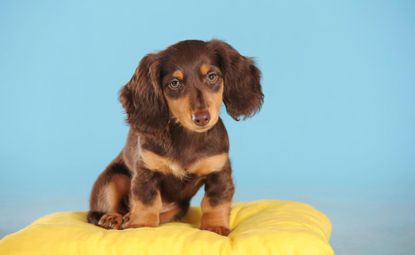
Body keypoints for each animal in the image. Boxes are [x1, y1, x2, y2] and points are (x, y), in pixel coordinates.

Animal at [87, 38, 264, 236]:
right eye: (174, 83)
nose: (201, 118)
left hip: (178, 208)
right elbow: (146, 202)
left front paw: (215, 227)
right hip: (112, 179)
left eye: (212, 76)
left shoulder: (219, 171)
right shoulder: (146, 171)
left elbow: (215, 202)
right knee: (102, 210)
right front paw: (141, 225)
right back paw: (113, 218)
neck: (187, 137)